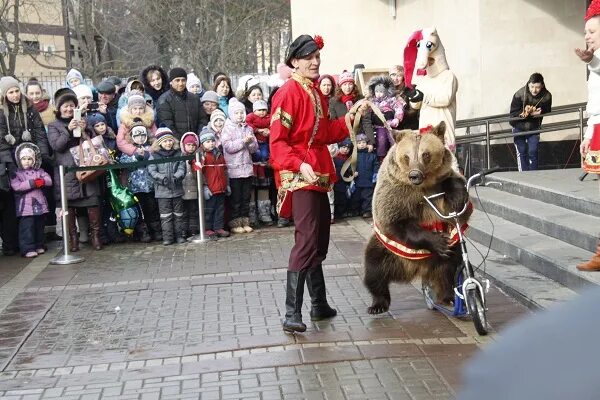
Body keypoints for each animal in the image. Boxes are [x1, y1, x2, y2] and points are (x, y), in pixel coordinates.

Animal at [364, 120, 472, 314]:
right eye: (407, 156)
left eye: (426, 154)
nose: (415, 175)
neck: (423, 186)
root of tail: (417, 268)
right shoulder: (396, 192)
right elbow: (398, 222)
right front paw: (438, 241)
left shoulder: (440, 183)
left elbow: (457, 203)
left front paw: (457, 197)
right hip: (386, 248)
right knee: (374, 269)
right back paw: (378, 304)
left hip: (445, 258)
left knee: (449, 269)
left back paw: (449, 297)